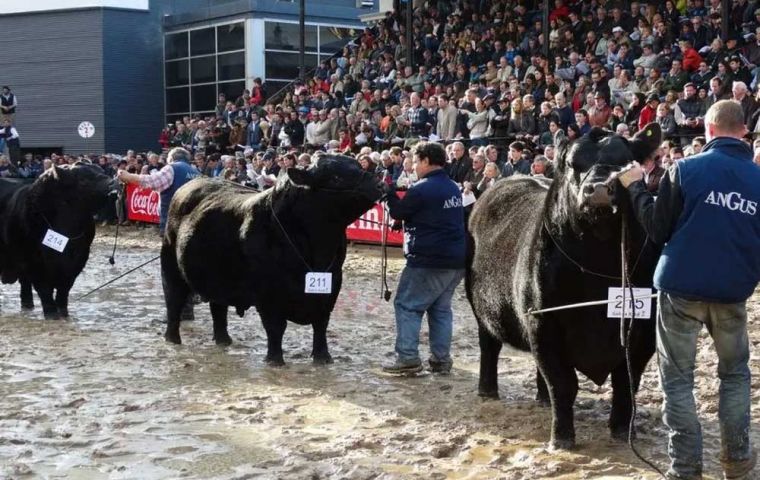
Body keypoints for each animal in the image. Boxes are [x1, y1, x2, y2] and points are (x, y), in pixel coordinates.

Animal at [0, 165, 114, 318]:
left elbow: (63, 292)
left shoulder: (77, 262)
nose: (114, 184)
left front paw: (64, 313)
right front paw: (52, 314)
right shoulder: (34, 264)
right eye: (83, 180)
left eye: (102, 170)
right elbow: (45, 292)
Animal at [162, 156, 386, 366]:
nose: (380, 184)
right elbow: (276, 328)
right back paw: (173, 340)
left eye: (359, 166)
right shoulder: (268, 295)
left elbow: (321, 325)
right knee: (174, 303)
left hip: (218, 279)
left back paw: (224, 341)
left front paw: (324, 358)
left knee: (218, 309)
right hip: (171, 267)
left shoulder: (331, 288)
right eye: (335, 177)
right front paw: (275, 359)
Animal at [466, 124, 664, 450]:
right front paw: (561, 438)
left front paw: (623, 431)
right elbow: (563, 384)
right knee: (489, 346)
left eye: (624, 162)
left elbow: (626, 383)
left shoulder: (643, 331)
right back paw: (487, 391)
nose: (598, 189)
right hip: (483, 310)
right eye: (573, 163)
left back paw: (541, 399)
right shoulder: (544, 322)